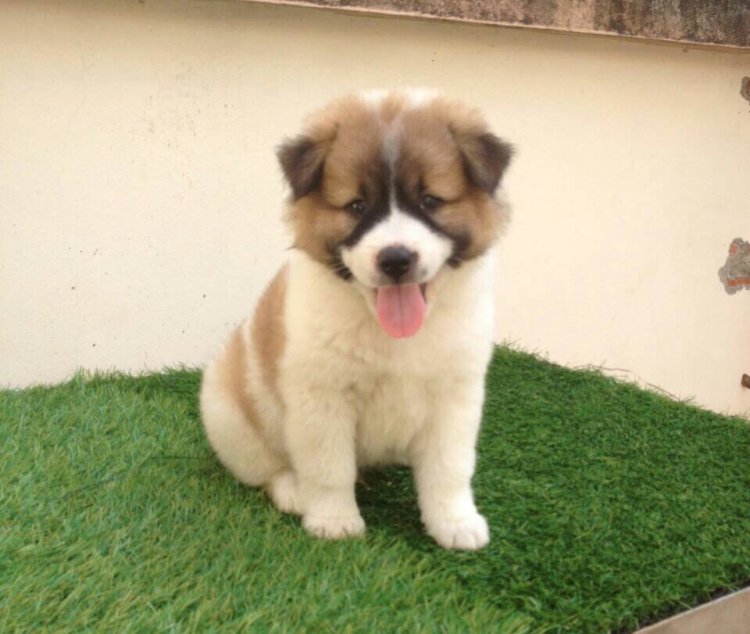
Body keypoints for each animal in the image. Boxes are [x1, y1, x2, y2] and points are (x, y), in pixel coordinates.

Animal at [200, 90, 513, 550]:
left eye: (430, 201)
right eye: (356, 206)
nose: (396, 259)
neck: (395, 334)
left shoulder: (456, 395)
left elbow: (449, 468)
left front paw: (454, 522)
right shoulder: (323, 397)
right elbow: (330, 468)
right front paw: (334, 520)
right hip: (228, 413)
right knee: (267, 468)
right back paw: (293, 490)